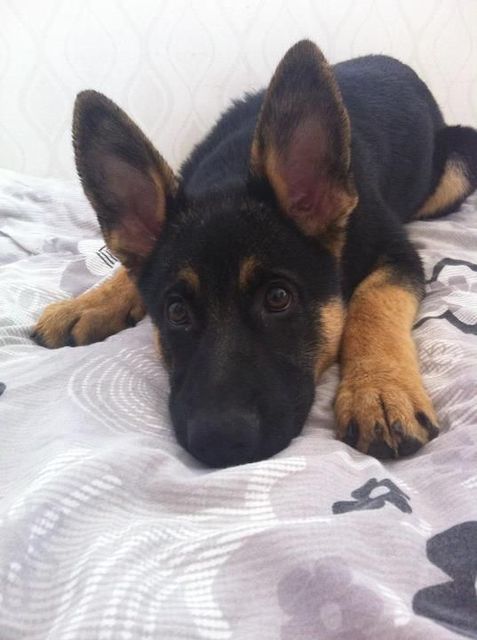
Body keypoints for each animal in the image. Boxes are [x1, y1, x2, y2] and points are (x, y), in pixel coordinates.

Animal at [32, 40, 477, 468]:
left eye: (278, 297)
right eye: (175, 311)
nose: (219, 444)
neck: (230, 173)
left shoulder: (397, 252)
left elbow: (374, 301)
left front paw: (380, 390)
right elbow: (128, 271)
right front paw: (87, 303)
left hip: (457, 170)